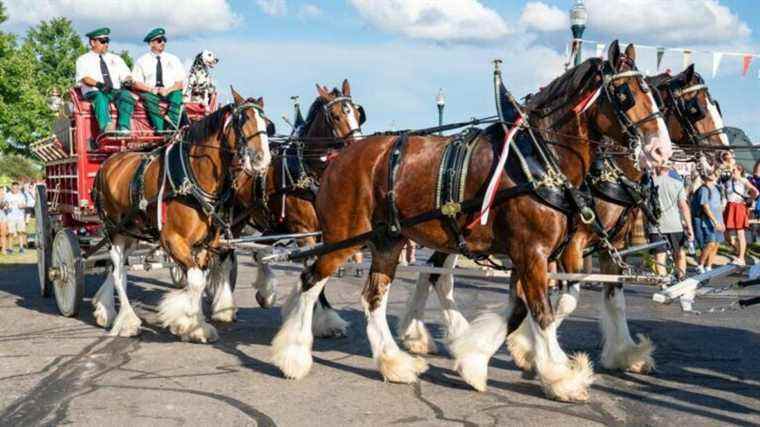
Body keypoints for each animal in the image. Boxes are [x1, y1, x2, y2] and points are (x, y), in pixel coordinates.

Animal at [91, 88, 274, 344]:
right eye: (243, 120)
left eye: (267, 124)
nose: (262, 159)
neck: (191, 178)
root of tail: (108, 162)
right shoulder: (173, 240)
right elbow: (195, 281)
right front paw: (187, 322)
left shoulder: (206, 243)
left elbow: (200, 279)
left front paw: (194, 324)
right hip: (114, 231)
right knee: (118, 271)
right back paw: (126, 321)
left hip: (131, 232)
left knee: (116, 268)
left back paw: (104, 309)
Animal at [217, 80, 366, 338]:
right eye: (336, 116)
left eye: (358, 114)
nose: (358, 148)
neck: (309, 171)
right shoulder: (304, 231)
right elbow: (314, 273)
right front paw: (316, 319)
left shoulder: (322, 234)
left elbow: (320, 273)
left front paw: (324, 318)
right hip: (235, 221)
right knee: (226, 255)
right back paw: (224, 305)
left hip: (271, 222)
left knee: (259, 252)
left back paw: (265, 293)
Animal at [268, 41, 672, 402]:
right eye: (624, 93)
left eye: (654, 93)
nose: (661, 151)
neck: (537, 158)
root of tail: (339, 157)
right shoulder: (533, 252)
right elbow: (541, 311)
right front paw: (560, 376)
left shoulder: (533, 253)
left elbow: (524, 308)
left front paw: (475, 357)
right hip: (345, 236)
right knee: (310, 280)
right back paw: (294, 354)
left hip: (387, 241)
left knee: (373, 296)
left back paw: (394, 362)